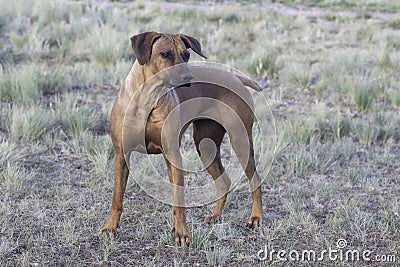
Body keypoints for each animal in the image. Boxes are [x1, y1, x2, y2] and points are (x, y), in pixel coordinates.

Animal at [100, 31, 262, 247]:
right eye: (165, 54)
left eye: (186, 54)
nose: (188, 77)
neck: (147, 100)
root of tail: (235, 77)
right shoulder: (121, 155)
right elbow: (117, 198)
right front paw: (110, 228)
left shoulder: (172, 155)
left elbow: (179, 201)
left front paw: (181, 234)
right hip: (206, 146)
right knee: (223, 182)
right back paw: (215, 216)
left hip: (240, 140)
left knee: (255, 179)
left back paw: (256, 218)